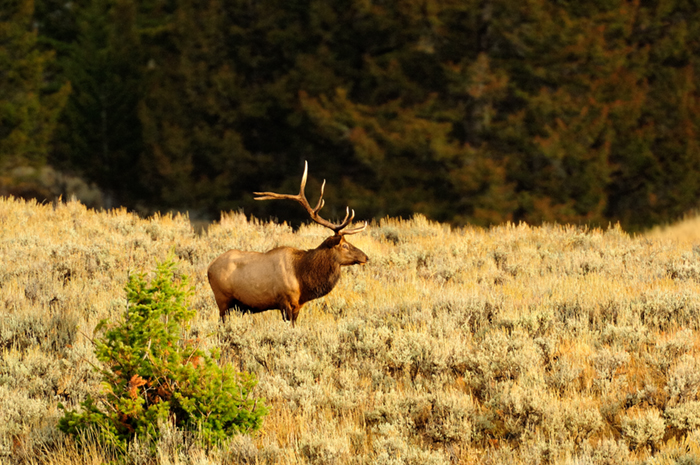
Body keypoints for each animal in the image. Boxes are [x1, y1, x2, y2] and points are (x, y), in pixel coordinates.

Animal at [206, 161, 366, 324]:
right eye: (344, 245)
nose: (365, 257)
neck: (303, 281)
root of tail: (209, 268)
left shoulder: (298, 305)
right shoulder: (285, 301)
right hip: (223, 300)